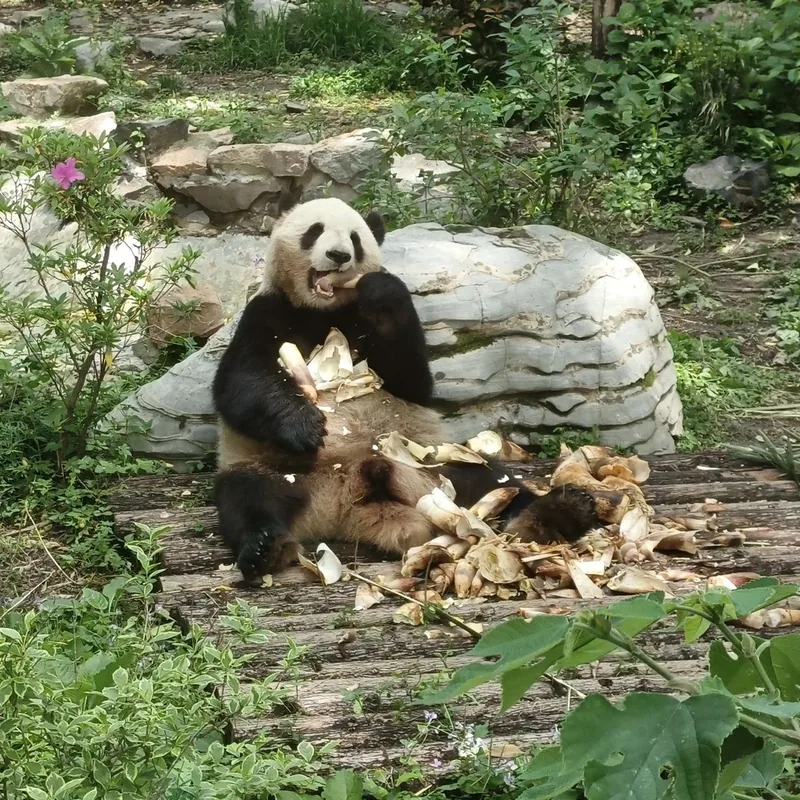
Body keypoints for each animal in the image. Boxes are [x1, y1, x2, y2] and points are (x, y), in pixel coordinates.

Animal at [212, 196, 599, 581]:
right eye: (315, 231)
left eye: (355, 239)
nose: (338, 256)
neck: (322, 311)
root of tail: (341, 503)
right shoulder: (268, 311)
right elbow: (240, 383)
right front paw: (303, 426)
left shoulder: (361, 319)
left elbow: (412, 380)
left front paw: (381, 293)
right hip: (278, 468)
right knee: (247, 498)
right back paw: (265, 548)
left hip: (428, 459)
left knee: (489, 479)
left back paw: (558, 512)